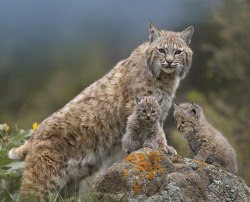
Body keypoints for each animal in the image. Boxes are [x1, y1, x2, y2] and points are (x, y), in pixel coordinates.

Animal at [8, 21, 194, 201]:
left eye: (178, 52)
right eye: (161, 50)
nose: (169, 61)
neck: (166, 77)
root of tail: (34, 134)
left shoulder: (159, 111)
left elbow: (158, 129)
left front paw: (163, 147)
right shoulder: (138, 108)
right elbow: (157, 132)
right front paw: (163, 148)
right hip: (41, 181)